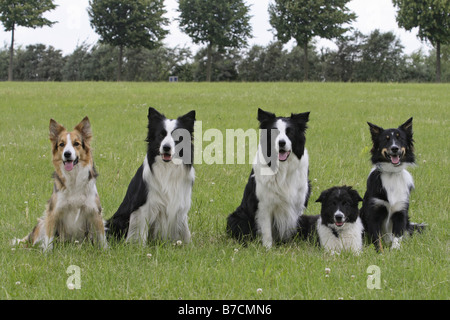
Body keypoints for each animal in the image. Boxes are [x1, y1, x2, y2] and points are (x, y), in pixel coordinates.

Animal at [16, 116, 107, 251]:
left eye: (76, 144)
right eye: (61, 144)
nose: (67, 154)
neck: (73, 178)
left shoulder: (95, 211)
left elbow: (102, 236)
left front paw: (106, 251)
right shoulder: (53, 211)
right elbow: (49, 238)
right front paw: (47, 253)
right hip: (42, 222)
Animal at [107, 107, 197, 245]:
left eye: (178, 137)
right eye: (161, 135)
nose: (166, 147)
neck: (168, 168)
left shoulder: (180, 205)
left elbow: (185, 231)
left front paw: (188, 246)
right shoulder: (142, 207)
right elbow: (140, 234)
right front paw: (139, 248)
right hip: (118, 220)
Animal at [227, 109, 312, 249]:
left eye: (290, 132)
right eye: (274, 132)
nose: (281, 143)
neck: (283, 168)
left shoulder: (297, 204)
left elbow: (292, 228)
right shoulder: (264, 205)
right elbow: (266, 231)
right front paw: (267, 249)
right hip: (237, 217)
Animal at [358, 117, 426, 250]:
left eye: (400, 139)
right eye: (386, 139)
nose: (395, 148)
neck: (392, 173)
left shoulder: (400, 212)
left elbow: (397, 237)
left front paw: (395, 251)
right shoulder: (374, 212)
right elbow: (377, 238)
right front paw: (380, 252)